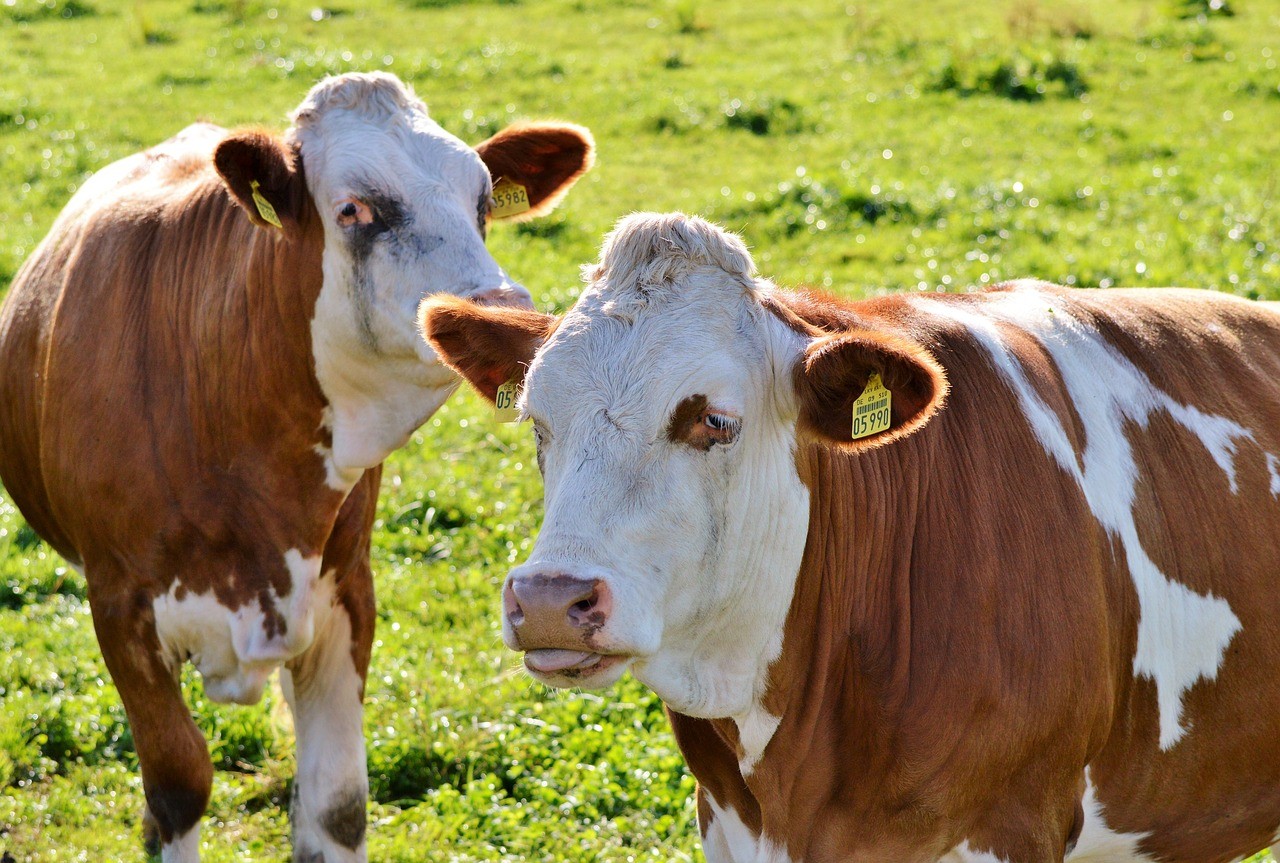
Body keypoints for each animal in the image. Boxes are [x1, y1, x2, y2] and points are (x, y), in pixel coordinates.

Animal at [0, 73, 596, 860]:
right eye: (352, 209)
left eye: (480, 202)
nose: (502, 306)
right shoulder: (119, 605)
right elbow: (178, 781)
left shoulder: (346, 593)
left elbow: (338, 802)